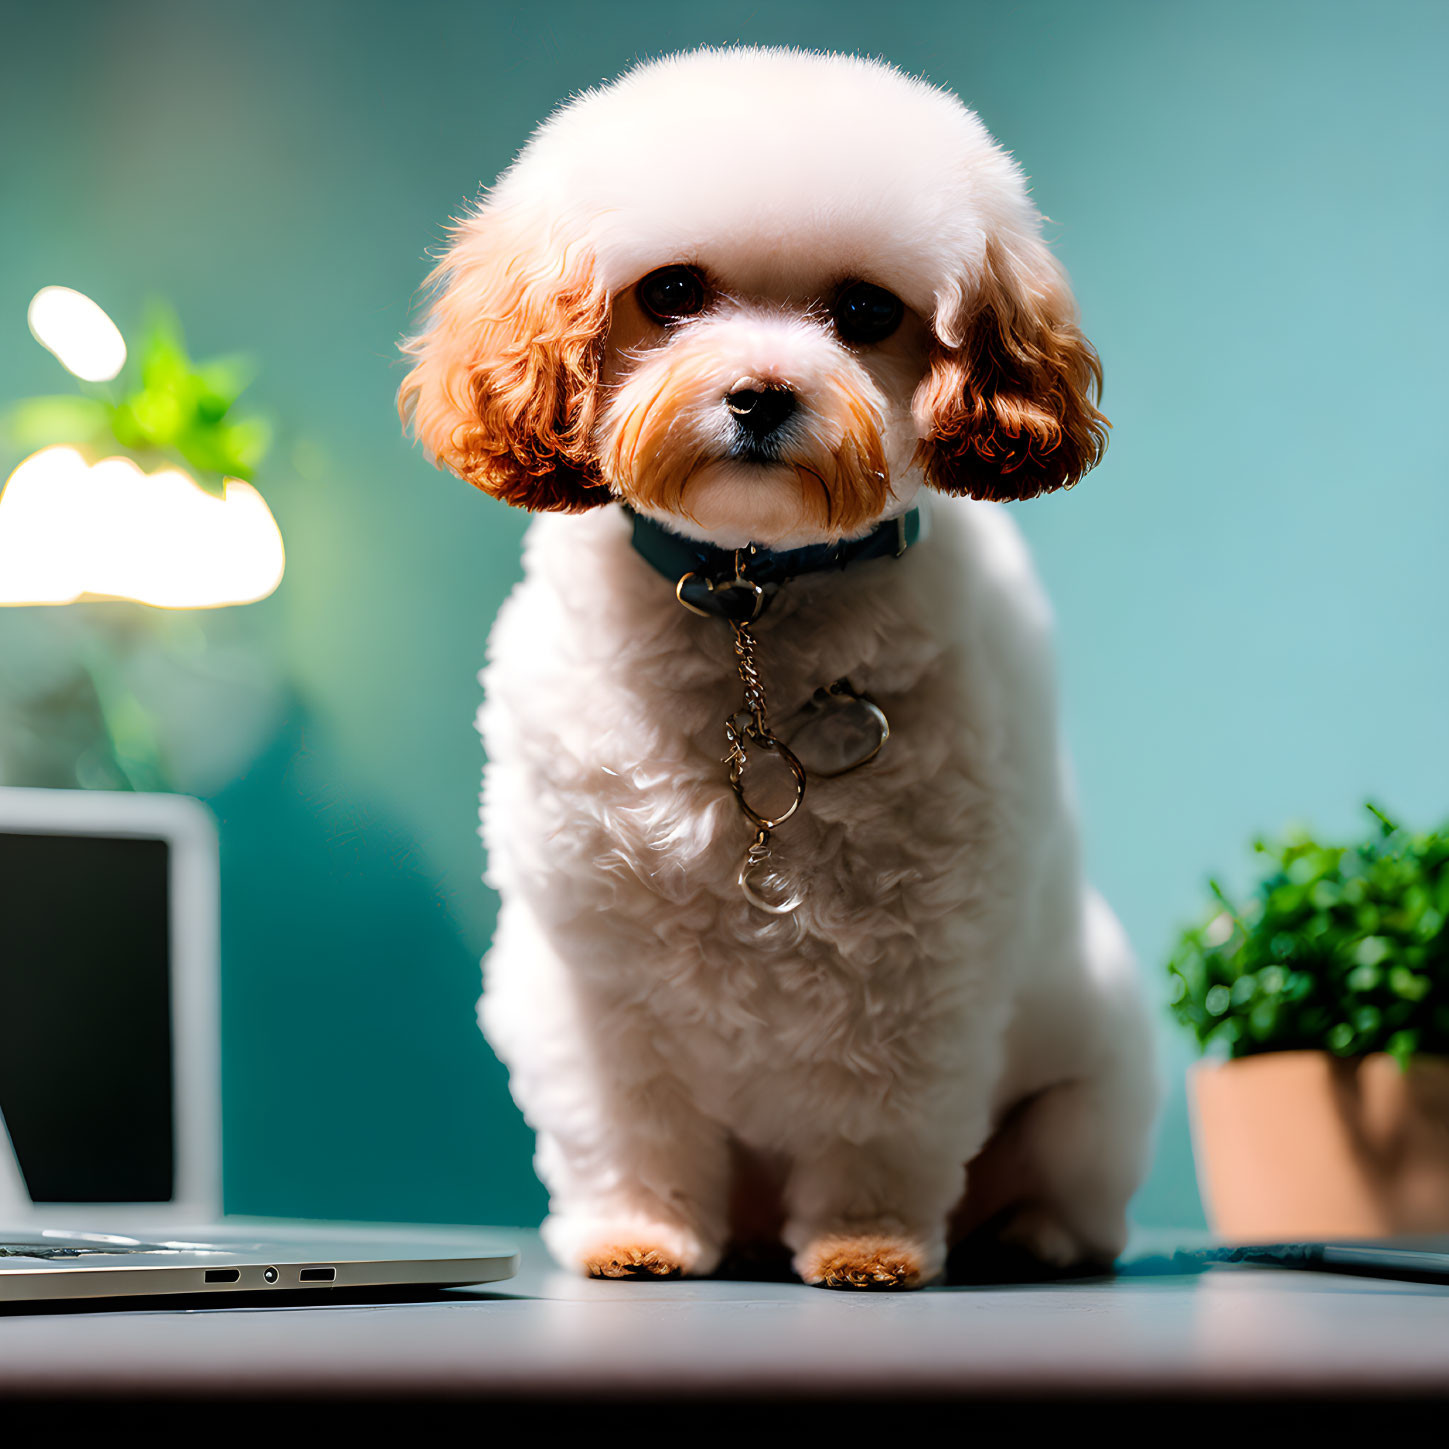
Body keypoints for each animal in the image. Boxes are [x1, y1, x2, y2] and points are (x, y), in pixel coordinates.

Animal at [402, 48, 1159, 1292]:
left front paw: (868, 1242)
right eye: (671, 292)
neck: (752, 593)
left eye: (865, 311)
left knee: (1070, 1197)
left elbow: (881, 1125)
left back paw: (1033, 1238)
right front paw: (640, 1232)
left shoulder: (922, 972)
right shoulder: (593, 985)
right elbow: (629, 1126)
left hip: (1091, 1104)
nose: (761, 394)